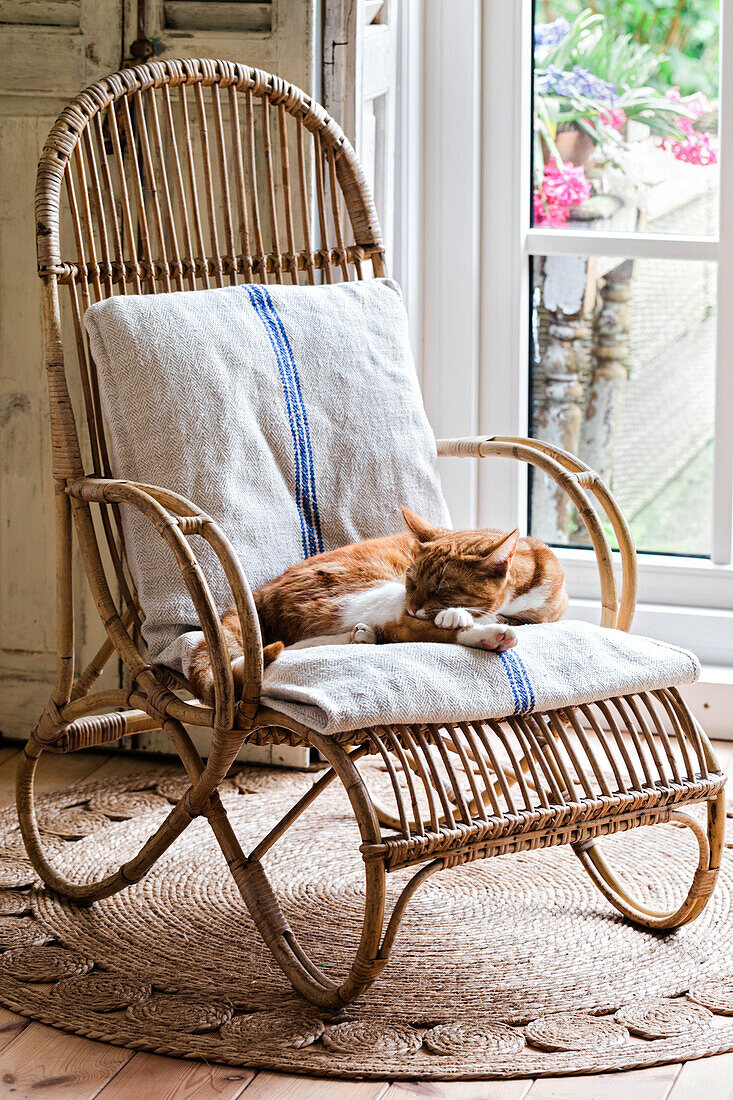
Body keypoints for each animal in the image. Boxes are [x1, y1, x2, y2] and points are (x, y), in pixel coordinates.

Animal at [188, 503, 563, 704]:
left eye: (441, 588)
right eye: (413, 582)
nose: (415, 605)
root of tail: (258, 592)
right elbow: (432, 624)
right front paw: (461, 619)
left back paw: (363, 636)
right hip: (366, 586)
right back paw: (486, 637)